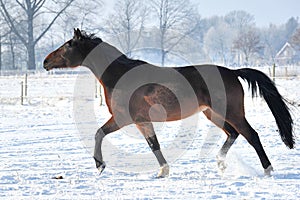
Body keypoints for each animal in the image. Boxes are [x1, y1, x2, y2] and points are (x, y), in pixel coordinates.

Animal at [43, 28, 294, 177]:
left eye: (68, 45)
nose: (45, 61)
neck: (120, 75)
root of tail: (233, 72)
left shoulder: (124, 118)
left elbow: (99, 133)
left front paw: (100, 165)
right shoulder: (141, 121)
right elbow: (153, 144)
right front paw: (163, 171)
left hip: (232, 113)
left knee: (251, 135)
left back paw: (268, 170)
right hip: (213, 113)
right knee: (233, 134)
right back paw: (221, 163)